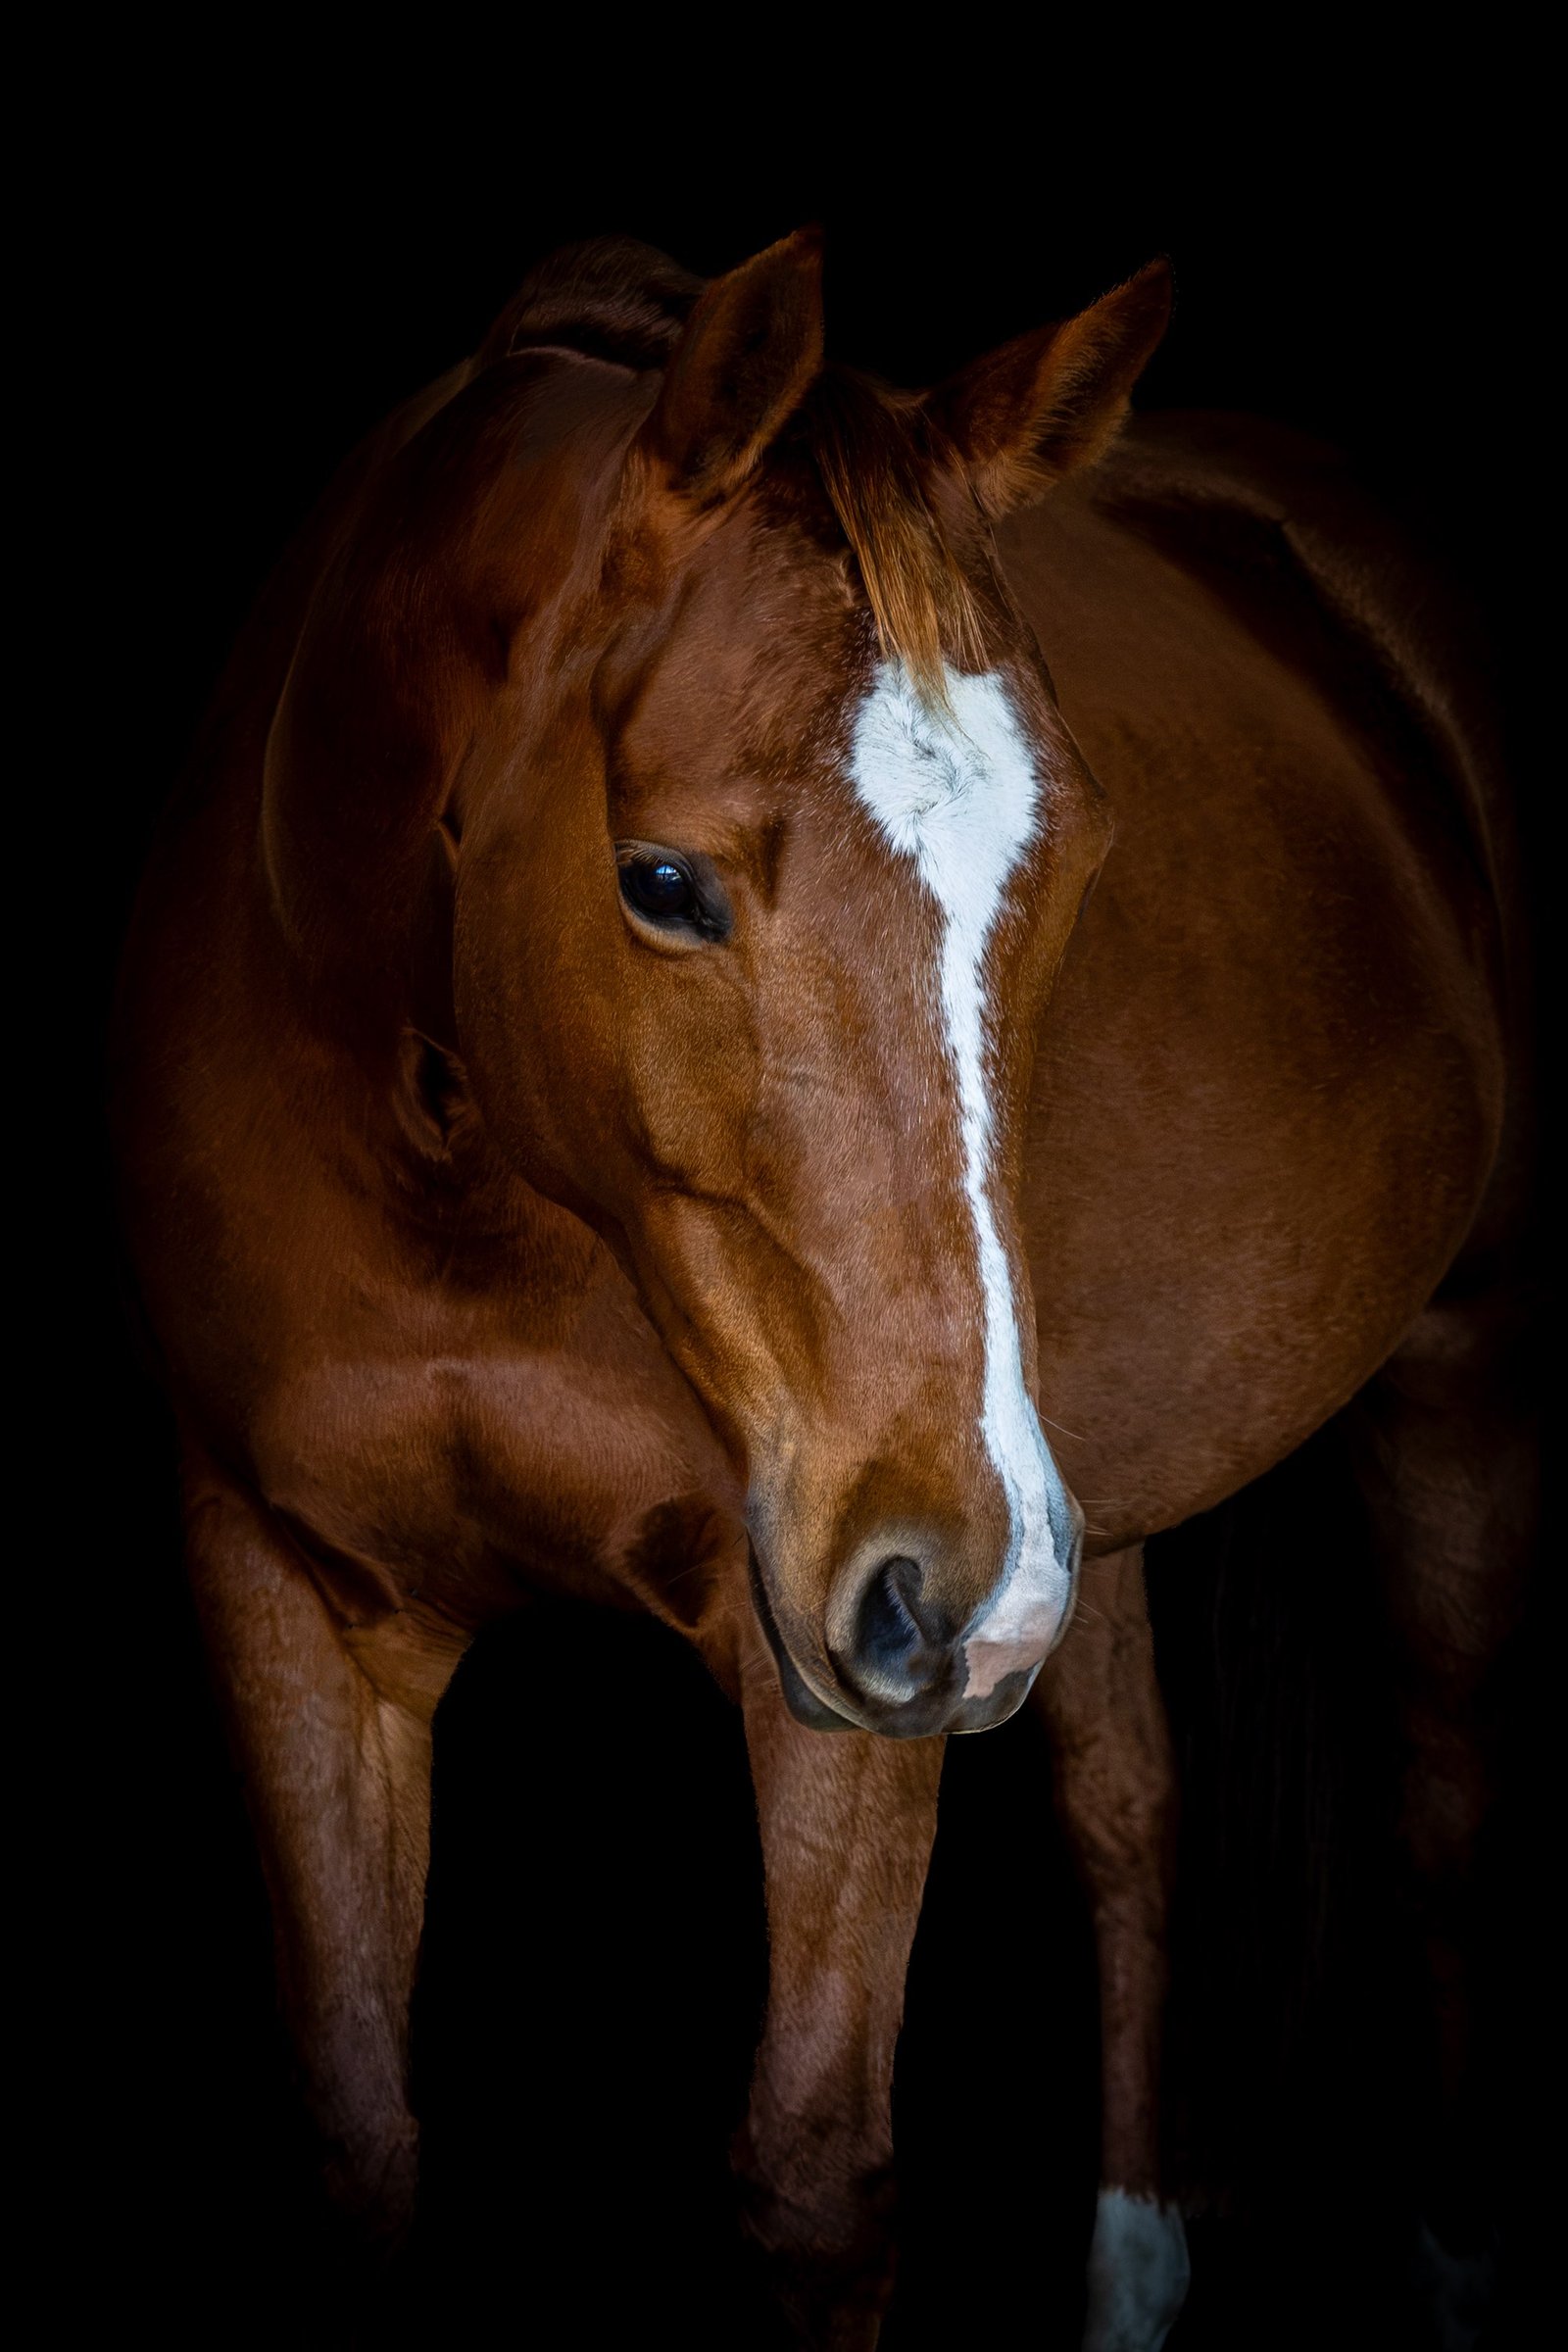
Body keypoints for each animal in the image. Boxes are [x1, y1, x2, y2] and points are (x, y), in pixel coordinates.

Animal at [111, 229, 1532, 2350]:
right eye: (662, 883)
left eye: (1073, 869)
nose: (952, 1585)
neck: (454, 1170)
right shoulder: (283, 1590)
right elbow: (361, 2143)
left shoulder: (830, 1651)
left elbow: (811, 2180)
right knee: (1131, 1815)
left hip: (1406, 1386)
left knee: (1438, 1812)